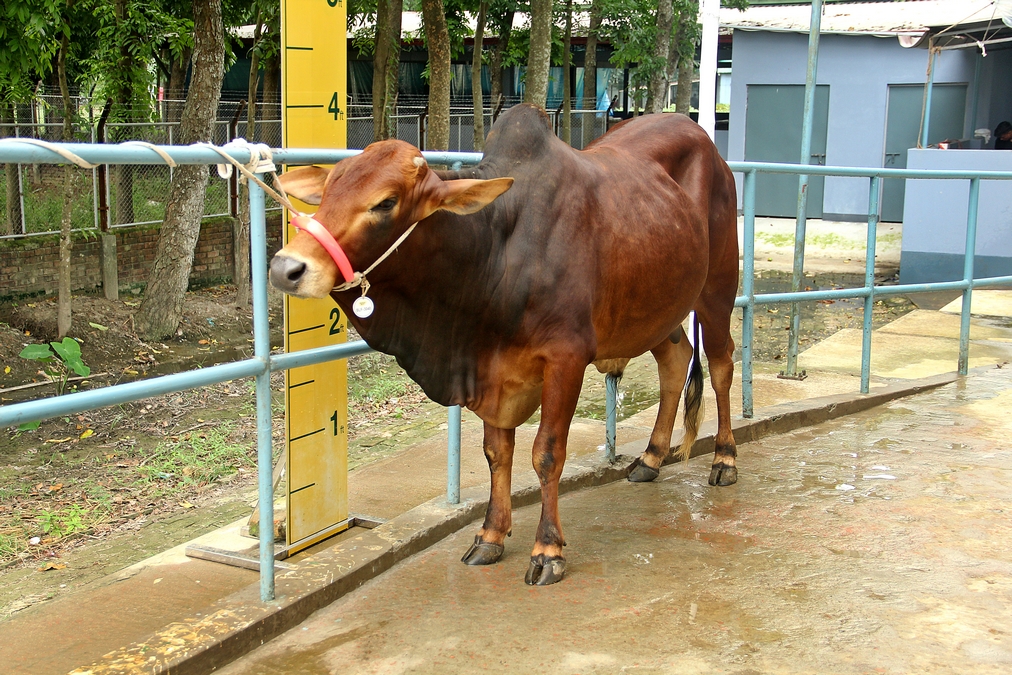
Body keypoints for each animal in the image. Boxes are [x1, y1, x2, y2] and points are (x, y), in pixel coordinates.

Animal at [269, 104, 739, 586]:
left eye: (385, 202)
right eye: (327, 192)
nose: (287, 268)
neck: (496, 249)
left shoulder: (566, 357)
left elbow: (547, 453)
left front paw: (547, 549)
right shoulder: (491, 370)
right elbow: (497, 453)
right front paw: (491, 535)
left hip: (717, 288)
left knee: (721, 365)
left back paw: (724, 459)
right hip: (657, 309)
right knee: (676, 361)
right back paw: (651, 457)